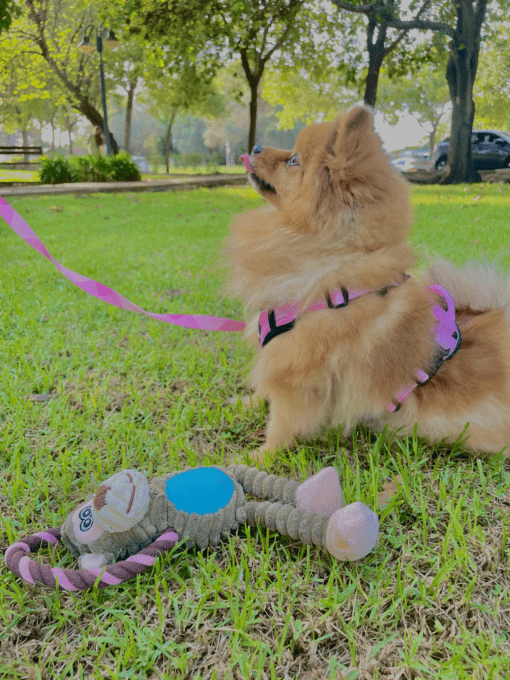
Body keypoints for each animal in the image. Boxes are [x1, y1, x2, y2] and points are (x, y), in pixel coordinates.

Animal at [227, 106, 510, 464]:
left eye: (293, 160)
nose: (256, 147)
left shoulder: (299, 378)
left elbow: (282, 423)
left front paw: (254, 458)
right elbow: (266, 396)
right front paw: (246, 403)